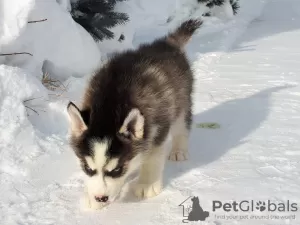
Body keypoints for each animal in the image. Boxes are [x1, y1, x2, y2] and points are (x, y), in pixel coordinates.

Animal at [65, 18, 202, 209]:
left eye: (116, 170)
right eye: (88, 169)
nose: (100, 198)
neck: (110, 104)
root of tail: (167, 43)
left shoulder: (159, 126)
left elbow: (152, 157)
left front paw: (147, 185)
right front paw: (90, 196)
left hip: (181, 101)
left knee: (183, 125)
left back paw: (178, 151)